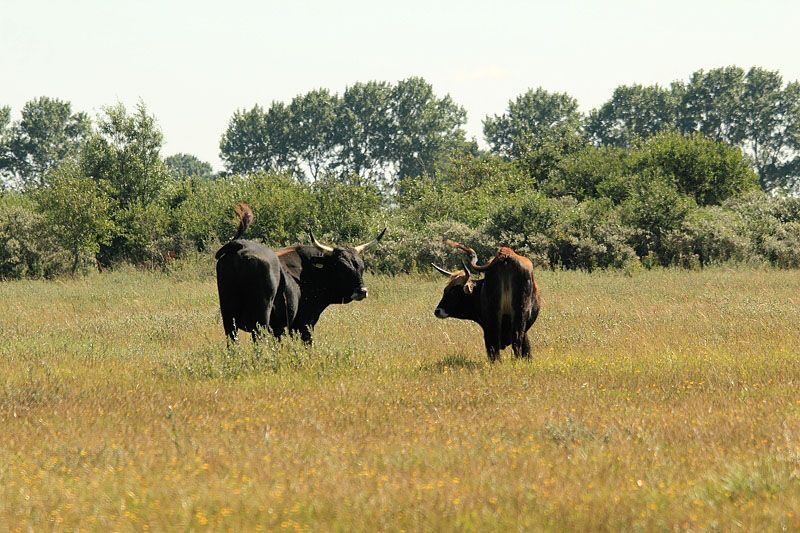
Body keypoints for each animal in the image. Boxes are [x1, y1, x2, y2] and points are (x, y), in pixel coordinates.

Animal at [216, 202, 384, 342]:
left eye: (361, 266)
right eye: (341, 267)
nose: (362, 291)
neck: (309, 272)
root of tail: (240, 246)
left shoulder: (279, 328)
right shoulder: (304, 325)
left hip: (229, 318)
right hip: (261, 317)